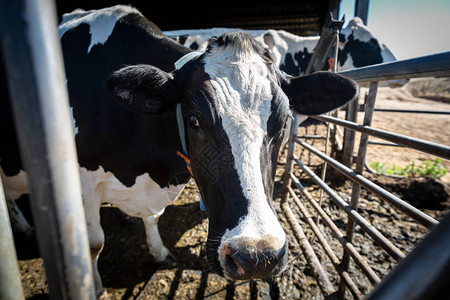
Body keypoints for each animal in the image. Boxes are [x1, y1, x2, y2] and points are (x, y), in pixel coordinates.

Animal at [0, 4, 358, 296]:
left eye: (283, 122)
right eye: (194, 119)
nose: (257, 256)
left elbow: (153, 219)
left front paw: (160, 253)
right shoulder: (80, 181)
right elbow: (93, 243)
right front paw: (95, 287)